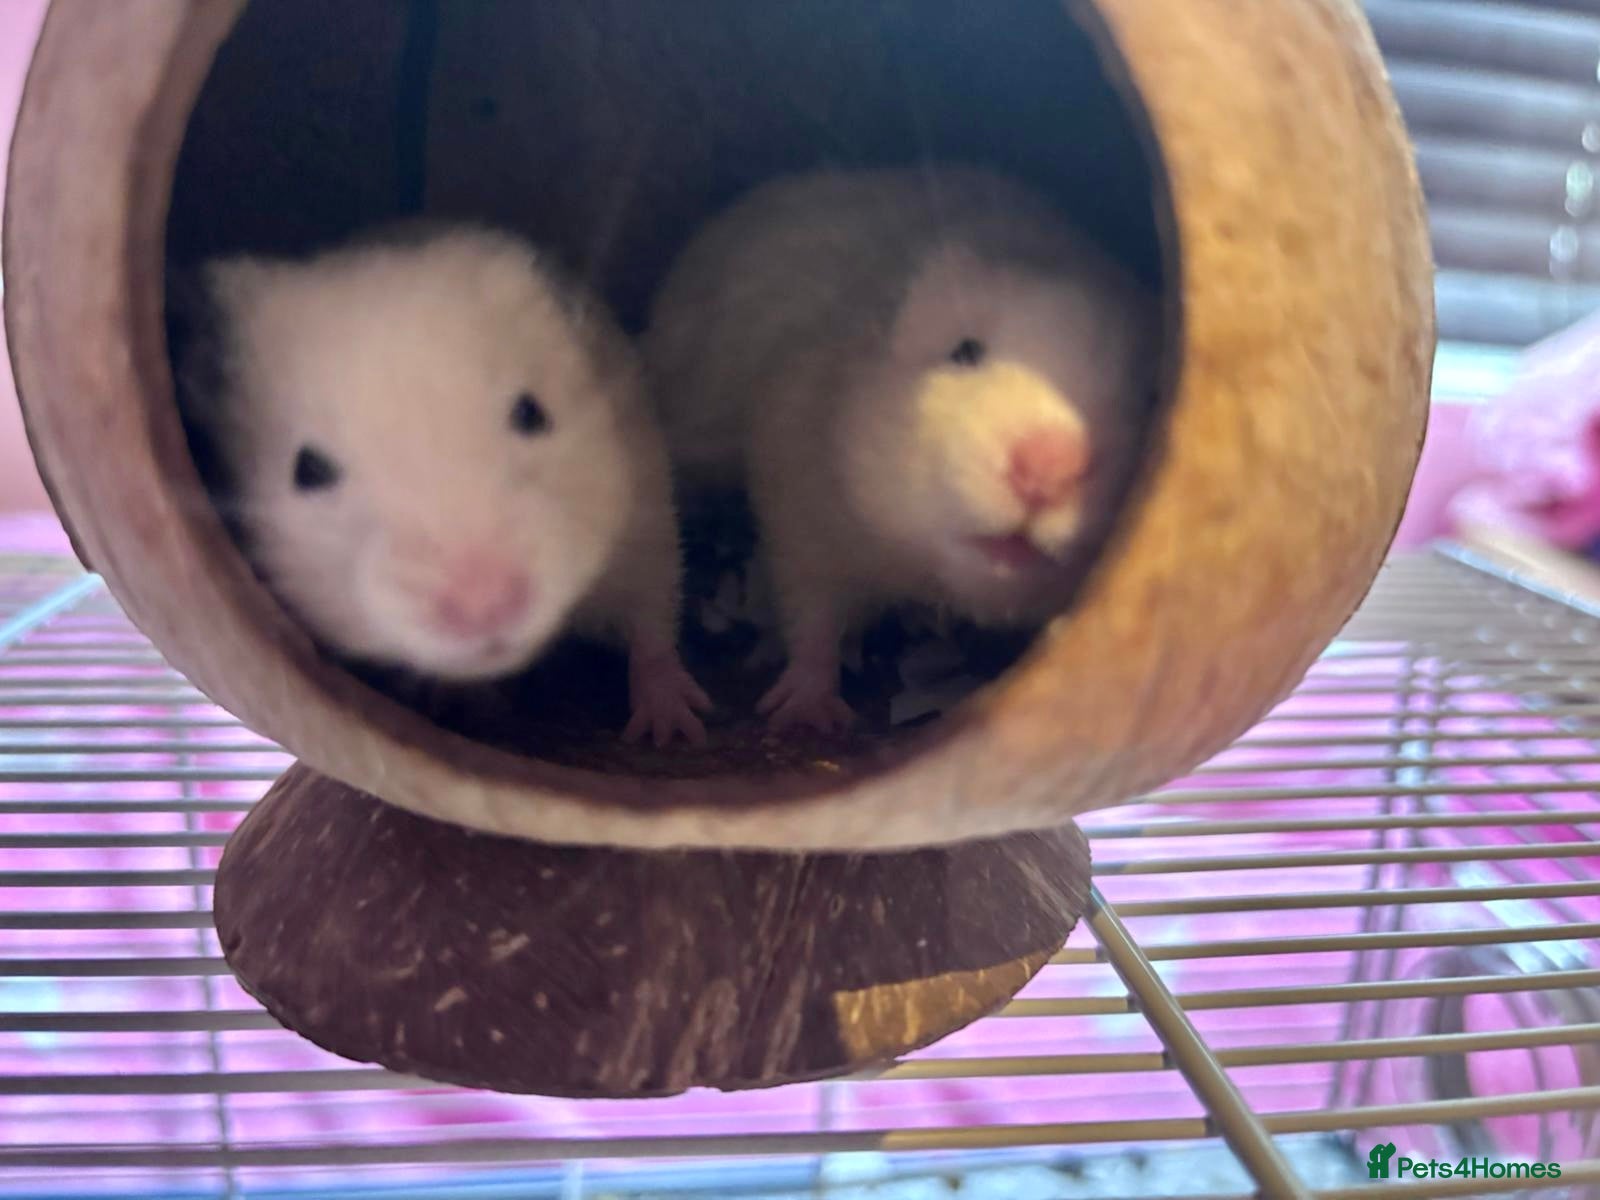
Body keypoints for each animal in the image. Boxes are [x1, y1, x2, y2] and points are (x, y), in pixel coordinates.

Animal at [173, 224, 710, 745]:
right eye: (307, 470)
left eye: (531, 413)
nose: (487, 606)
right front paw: (469, 705)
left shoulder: (646, 514)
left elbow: (653, 620)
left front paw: (673, 730)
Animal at [644, 166, 1157, 732]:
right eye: (965, 351)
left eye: (1147, 397)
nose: (1047, 470)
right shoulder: (801, 501)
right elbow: (812, 614)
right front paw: (807, 716)